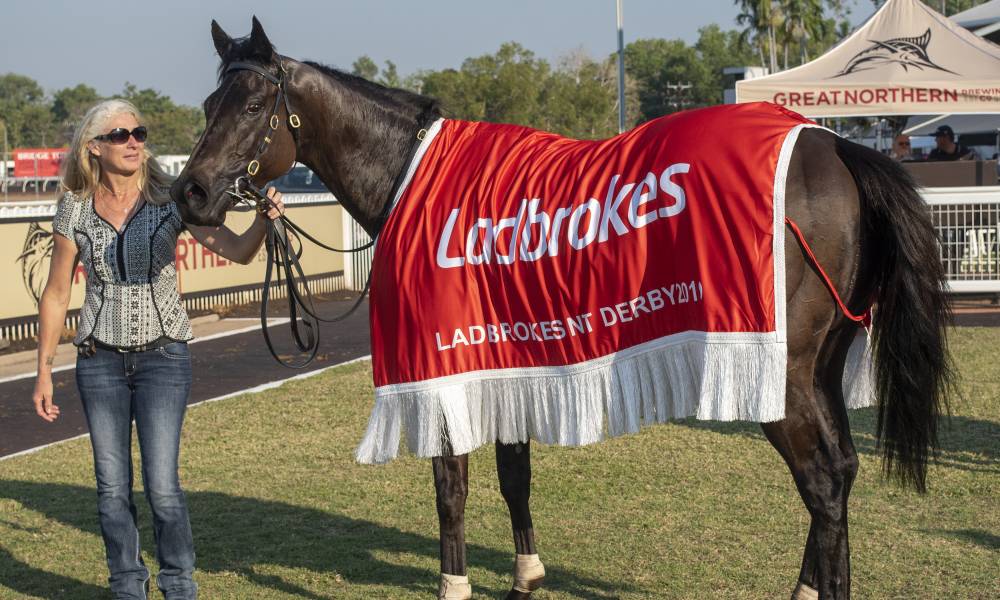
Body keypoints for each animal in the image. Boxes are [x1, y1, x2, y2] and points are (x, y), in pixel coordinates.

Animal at [172, 18, 952, 600]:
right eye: (208, 108)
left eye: (252, 107)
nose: (191, 194)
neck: (412, 175)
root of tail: (834, 146)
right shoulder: (499, 356)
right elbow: (514, 475)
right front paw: (525, 575)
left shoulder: (440, 364)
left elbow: (450, 487)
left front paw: (455, 586)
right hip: (821, 364)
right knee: (842, 470)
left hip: (781, 372)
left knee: (821, 482)